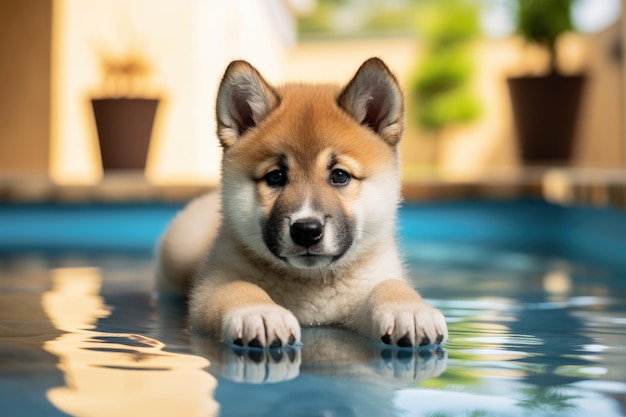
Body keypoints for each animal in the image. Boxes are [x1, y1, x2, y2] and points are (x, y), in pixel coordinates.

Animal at [157, 57, 448, 348]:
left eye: (339, 175)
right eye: (275, 177)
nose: (306, 231)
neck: (312, 284)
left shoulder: (376, 279)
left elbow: (390, 287)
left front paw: (408, 310)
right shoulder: (213, 285)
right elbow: (238, 289)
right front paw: (260, 313)